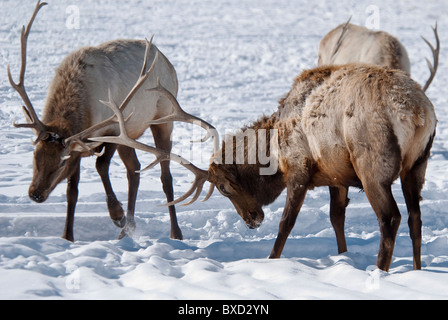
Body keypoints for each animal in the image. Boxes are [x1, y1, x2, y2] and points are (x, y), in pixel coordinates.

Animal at [6, 0, 217, 240]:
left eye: (61, 162)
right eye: (35, 155)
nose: (35, 194)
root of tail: (167, 61)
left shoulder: (114, 130)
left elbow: (100, 165)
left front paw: (117, 214)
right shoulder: (82, 146)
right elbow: (72, 190)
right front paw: (67, 236)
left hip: (164, 118)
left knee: (165, 176)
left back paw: (174, 232)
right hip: (132, 132)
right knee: (134, 170)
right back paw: (128, 229)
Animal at [207, 63, 438, 272]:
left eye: (223, 187)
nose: (251, 220)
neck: (272, 151)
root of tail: (417, 113)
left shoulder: (298, 169)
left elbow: (286, 222)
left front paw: (272, 259)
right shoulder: (337, 177)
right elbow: (336, 218)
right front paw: (344, 256)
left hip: (373, 169)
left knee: (390, 218)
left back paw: (379, 271)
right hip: (417, 166)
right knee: (415, 218)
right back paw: (417, 270)